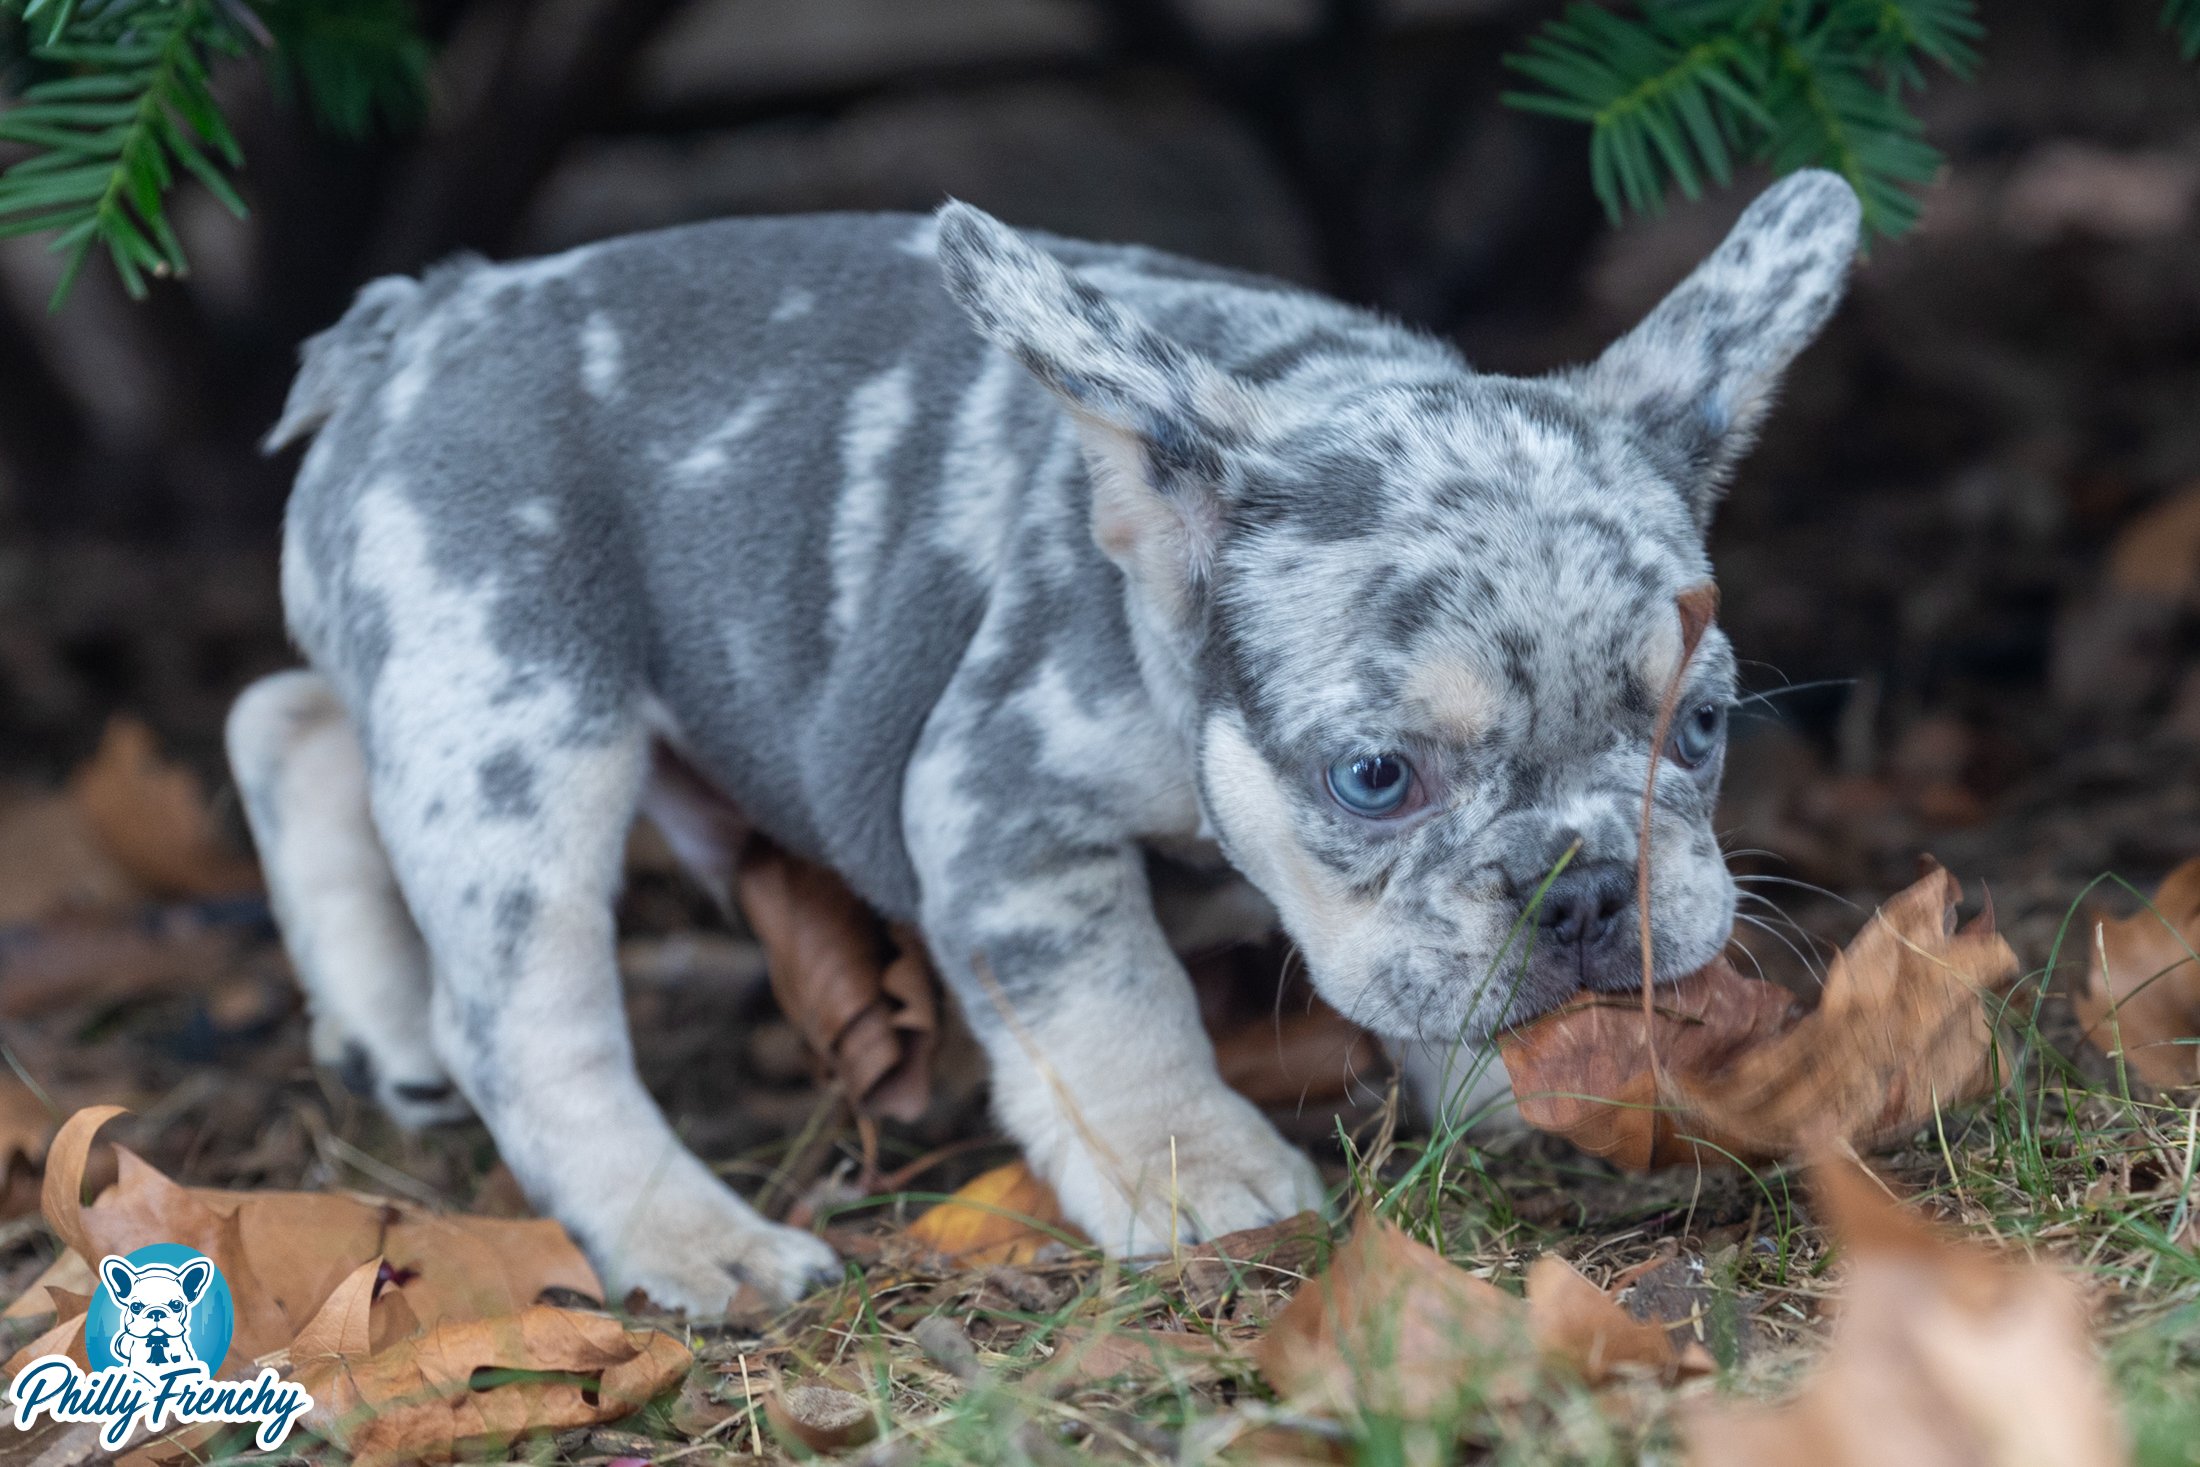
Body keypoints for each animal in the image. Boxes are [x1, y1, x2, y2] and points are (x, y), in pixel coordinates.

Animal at [232, 169, 1856, 1310]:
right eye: (1374, 777)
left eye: (1701, 725)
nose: (1582, 893)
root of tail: (425, 318)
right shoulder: (1000, 813)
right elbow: (1118, 1003)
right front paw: (1202, 1170)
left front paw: (1509, 1097)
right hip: (517, 715)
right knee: (522, 1019)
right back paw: (691, 1237)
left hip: (443, 692)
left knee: (284, 717)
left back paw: (375, 1018)